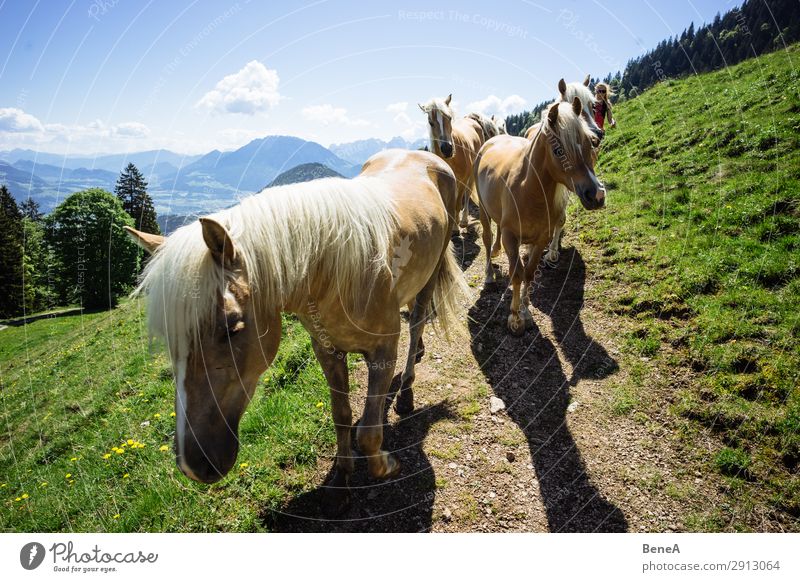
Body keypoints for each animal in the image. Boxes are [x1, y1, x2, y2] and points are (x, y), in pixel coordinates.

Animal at [125, 149, 468, 516]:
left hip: (431, 272)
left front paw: (387, 465)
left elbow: (369, 435)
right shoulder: (326, 349)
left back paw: (406, 390)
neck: (336, 273)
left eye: (232, 326)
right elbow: (341, 415)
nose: (193, 465)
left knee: (417, 322)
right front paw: (341, 482)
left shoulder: (383, 351)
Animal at [418, 94, 488, 232]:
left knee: (467, 194)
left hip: (471, 175)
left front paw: (455, 227)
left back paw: (464, 221)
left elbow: (457, 203)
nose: (447, 149)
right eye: (431, 122)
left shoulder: (462, 180)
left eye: (449, 118)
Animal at [476, 97, 608, 336]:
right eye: (558, 150)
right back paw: (489, 274)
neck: (527, 187)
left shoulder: (541, 239)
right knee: (488, 238)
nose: (597, 195)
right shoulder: (511, 238)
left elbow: (528, 273)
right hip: (482, 210)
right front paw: (515, 318)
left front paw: (525, 311)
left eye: (590, 143)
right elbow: (517, 274)